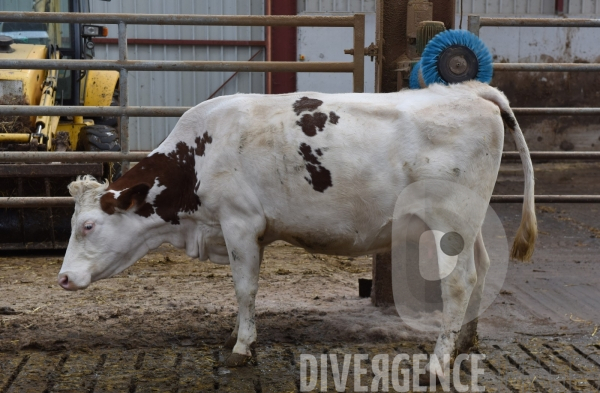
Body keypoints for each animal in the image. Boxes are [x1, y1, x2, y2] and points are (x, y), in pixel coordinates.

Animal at [57, 80, 536, 380]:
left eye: (88, 225)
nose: (62, 278)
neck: (200, 152)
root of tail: (472, 91)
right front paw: (237, 334)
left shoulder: (239, 222)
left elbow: (245, 288)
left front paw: (242, 347)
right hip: (469, 222)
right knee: (483, 269)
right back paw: (465, 343)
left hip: (448, 220)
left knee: (459, 282)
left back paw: (438, 364)